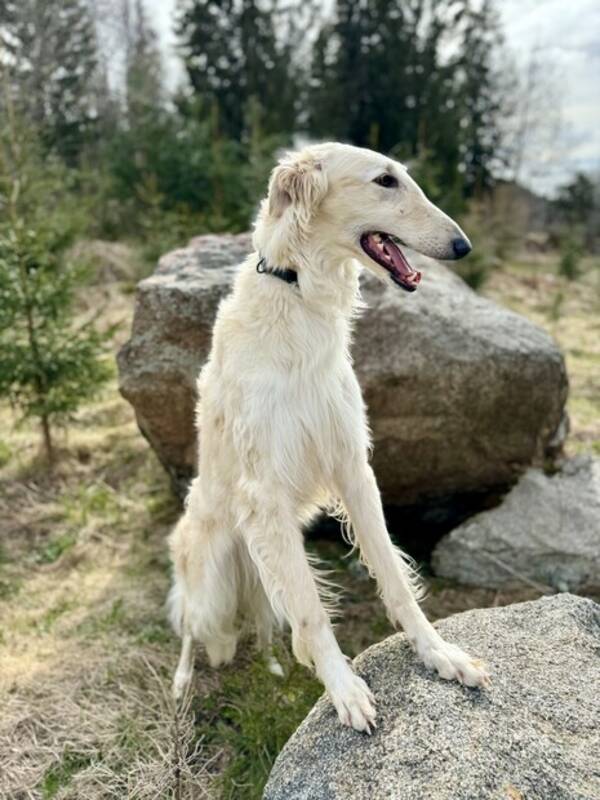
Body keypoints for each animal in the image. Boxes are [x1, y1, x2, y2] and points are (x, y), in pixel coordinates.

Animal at [166, 142, 490, 732]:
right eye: (385, 180)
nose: (462, 245)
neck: (299, 297)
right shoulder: (265, 493)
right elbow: (315, 615)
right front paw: (345, 689)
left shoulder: (352, 467)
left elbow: (393, 577)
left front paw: (440, 654)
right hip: (213, 576)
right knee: (192, 628)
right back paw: (182, 682)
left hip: (263, 570)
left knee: (269, 621)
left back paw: (273, 664)